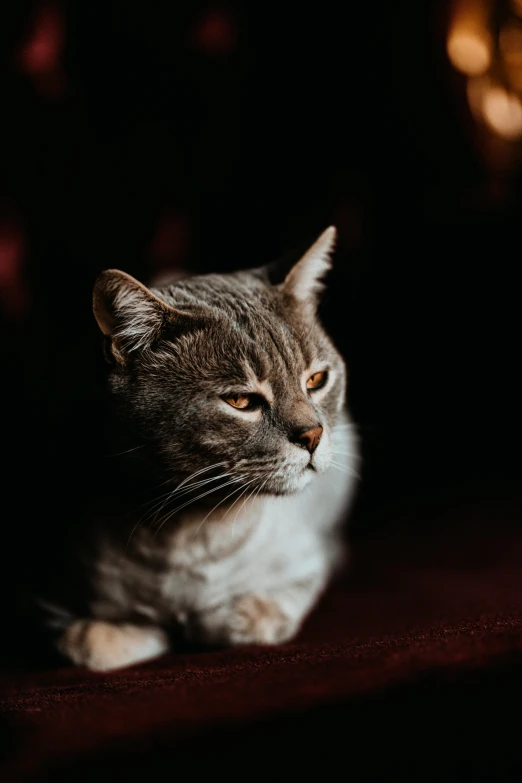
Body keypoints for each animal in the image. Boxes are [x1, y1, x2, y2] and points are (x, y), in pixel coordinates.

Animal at [38, 227, 360, 672]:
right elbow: (91, 642)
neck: (188, 531)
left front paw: (208, 617)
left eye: (316, 380)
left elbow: (250, 615)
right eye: (241, 401)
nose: (313, 435)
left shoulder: (311, 561)